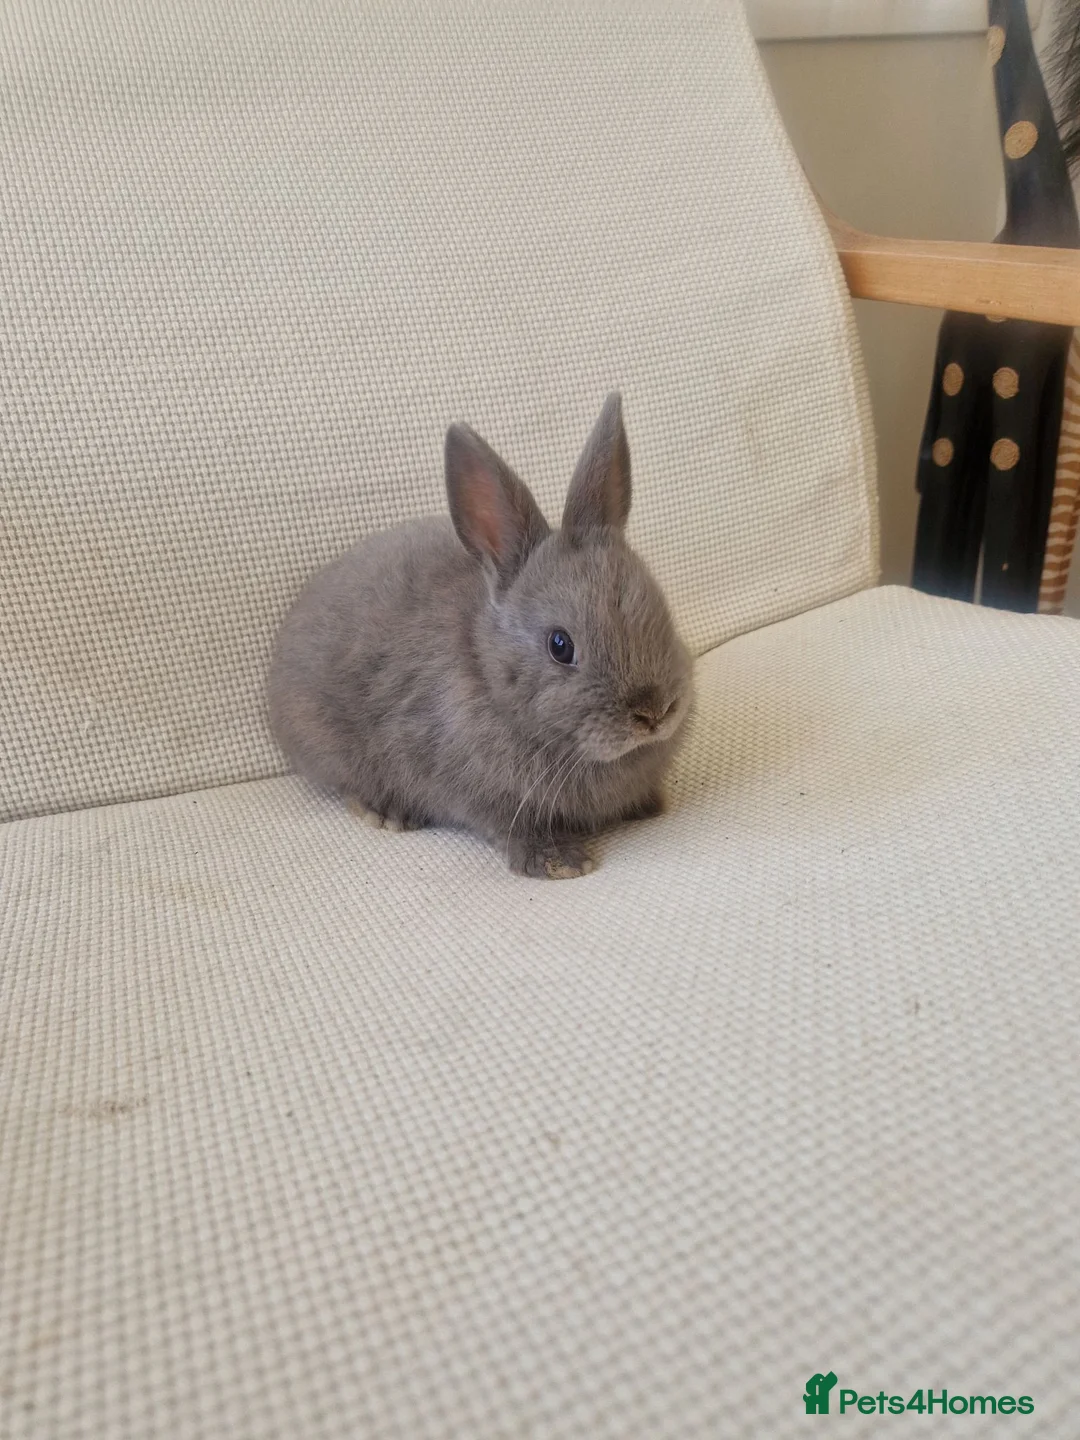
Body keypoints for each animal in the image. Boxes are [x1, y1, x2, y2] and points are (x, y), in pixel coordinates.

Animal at [268, 393, 692, 878]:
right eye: (560, 646)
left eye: (660, 609)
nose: (654, 712)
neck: (490, 676)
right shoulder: (482, 791)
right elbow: (512, 825)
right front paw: (560, 863)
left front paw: (650, 804)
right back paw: (387, 812)